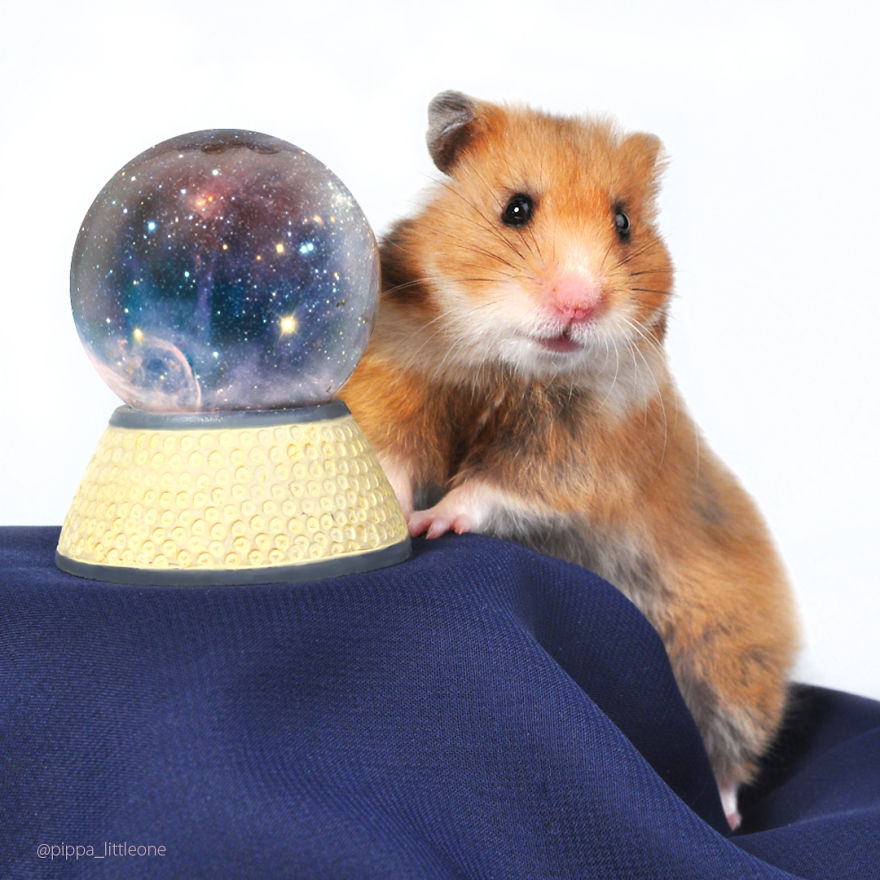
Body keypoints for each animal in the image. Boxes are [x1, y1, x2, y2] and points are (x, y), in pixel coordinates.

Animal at [340, 91, 799, 830]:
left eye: (624, 223)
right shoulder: (399, 386)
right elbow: (395, 461)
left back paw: (726, 816)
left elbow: (489, 490)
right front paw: (397, 517)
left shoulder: (572, 463)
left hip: (731, 661)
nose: (579, 303)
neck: (509, 369)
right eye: (516, 208)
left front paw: (430, 524)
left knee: (727, 754)